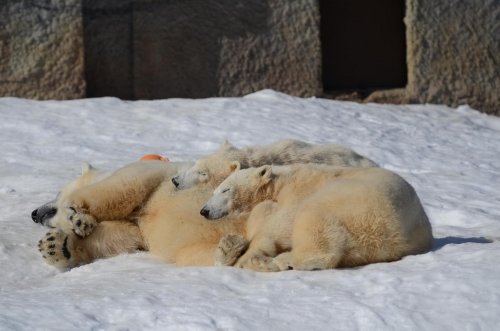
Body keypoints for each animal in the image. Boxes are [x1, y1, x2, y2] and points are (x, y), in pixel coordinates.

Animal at [32, 161, 247, 270]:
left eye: (58, 193)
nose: (34, 214)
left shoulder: (151, 170)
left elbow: (125, 186)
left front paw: (77, 214)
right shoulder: (137, 229)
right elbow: (123, 236)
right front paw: (55, 246)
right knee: (191, 253)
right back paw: (228, 249)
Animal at [201, 164, 432, 272]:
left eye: (225, 190)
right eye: (214, 191)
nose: (204, 210)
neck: (281, 181)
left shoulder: (299, 189)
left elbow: (282, 220)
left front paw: (247, 255)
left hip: (356, 204)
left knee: (313, 219)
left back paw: (278, 261)